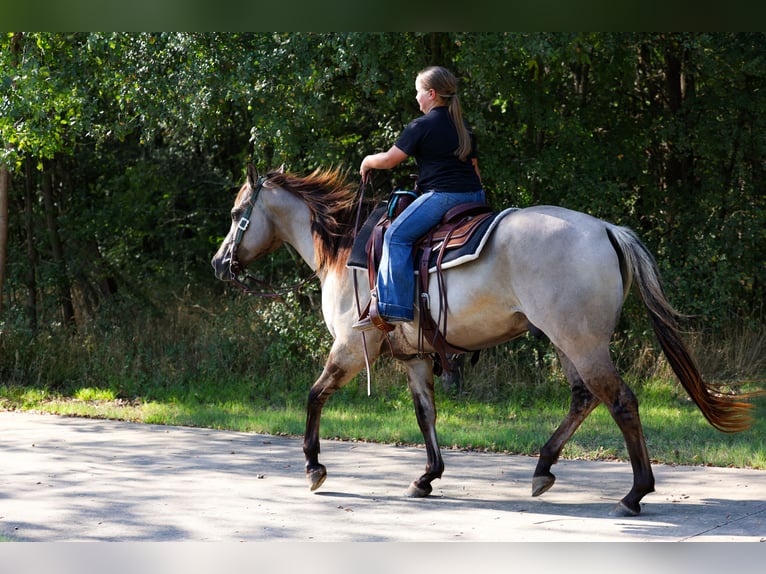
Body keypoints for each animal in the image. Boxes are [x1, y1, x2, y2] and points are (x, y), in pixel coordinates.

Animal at [211, 163, 753, 516]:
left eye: (239, 213)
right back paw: (543, 469)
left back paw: (635, 493)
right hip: (567, 340)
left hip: (581, 341)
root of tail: (604, 228)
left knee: (619, 400)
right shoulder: (414, 356)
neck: (346, 252)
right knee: (584, 398)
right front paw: (427, 477)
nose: (219, 263)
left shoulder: (350, 347)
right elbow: (425, 413)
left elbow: (314, 395)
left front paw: (313, 467)